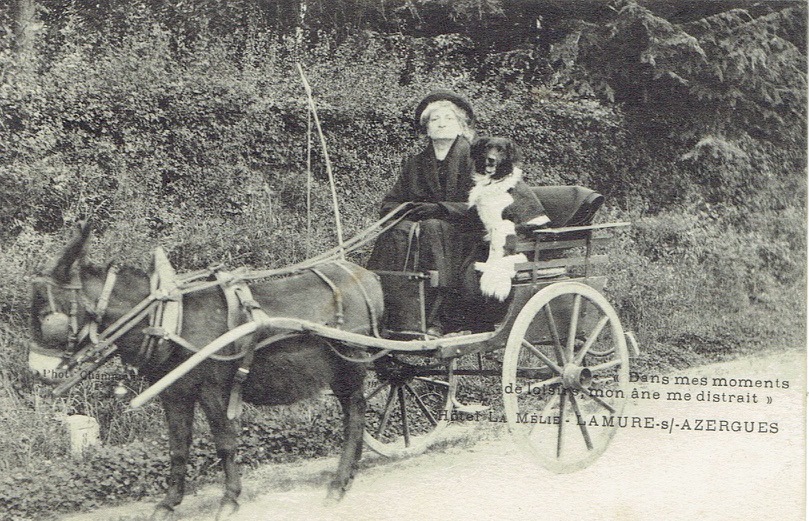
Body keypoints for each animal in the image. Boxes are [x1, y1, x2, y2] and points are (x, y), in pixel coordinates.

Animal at [28, 222, 384, 520]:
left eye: (47, 316)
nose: (36, 371)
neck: (169, 319)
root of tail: (368, 276)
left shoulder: (214, 389)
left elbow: (225, 443)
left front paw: (229, 500)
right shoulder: (174, 392)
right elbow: (177, 447)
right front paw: (168, 503)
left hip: (350, 363)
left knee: (355, 414)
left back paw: (338, 484)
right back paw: (349, 475)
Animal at [468, 137, 550, 300]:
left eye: (501, 150)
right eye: (487, 147)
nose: (491, 159)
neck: (495, 180)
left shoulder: (499, 224)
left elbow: (495, 250)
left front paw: (487, 267)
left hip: (509, 227)